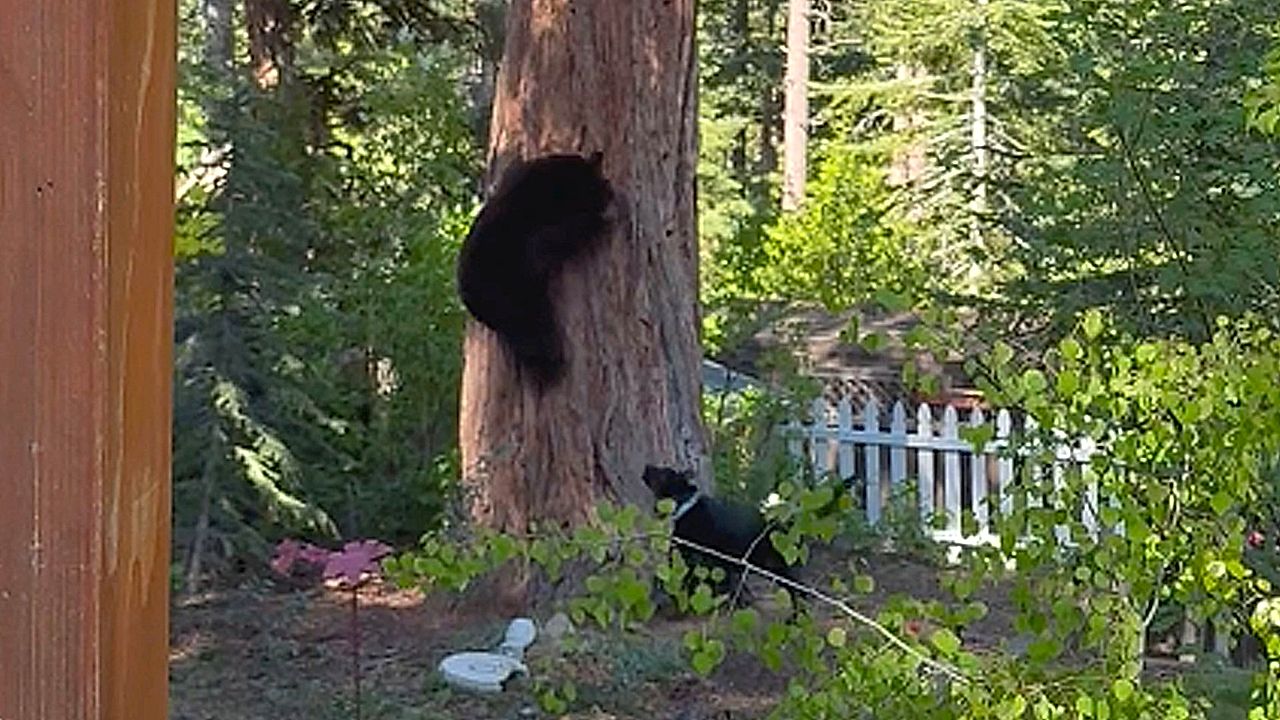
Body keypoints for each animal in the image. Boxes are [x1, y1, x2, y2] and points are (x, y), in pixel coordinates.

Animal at [456, 151, 614, 387]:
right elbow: (551, 240)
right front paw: (595, 221)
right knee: (529, 323)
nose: (611, 192)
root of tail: (467, 298)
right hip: (507, 291)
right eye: (601, 186)